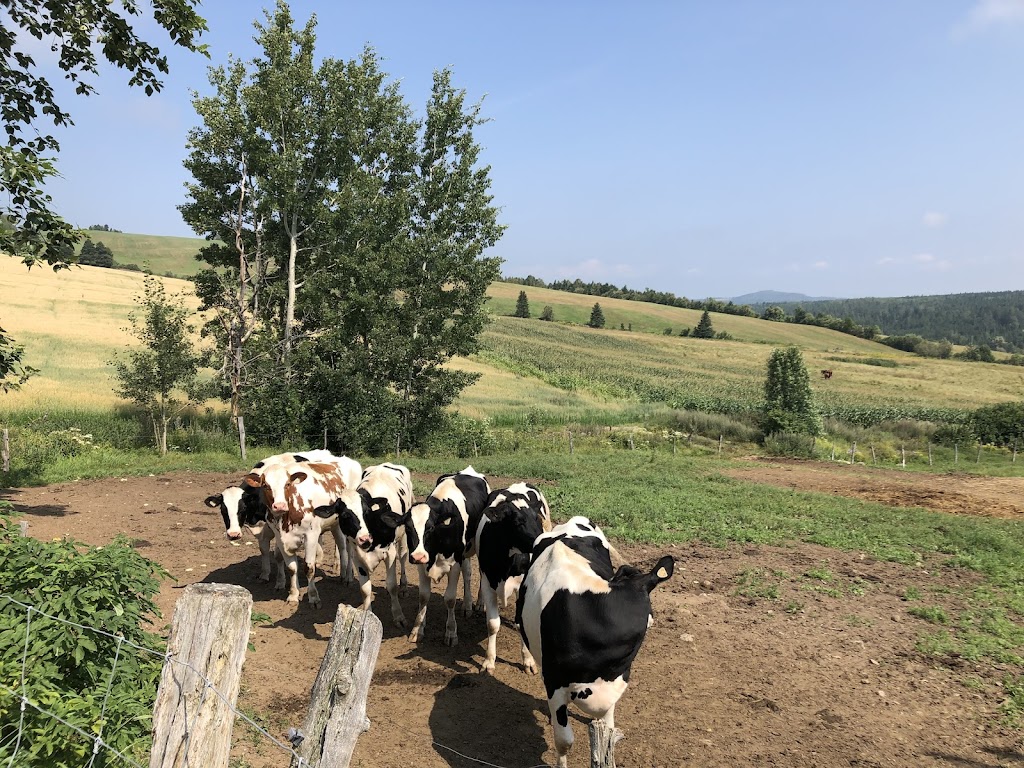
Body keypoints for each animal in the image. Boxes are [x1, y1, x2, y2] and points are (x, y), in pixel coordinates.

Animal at [403, 466, 491, 647]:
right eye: (408, 528)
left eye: (430, 528)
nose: (418, 556)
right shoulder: (423, 565)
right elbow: (423, 597)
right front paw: (417, 629)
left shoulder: (454, 564)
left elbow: (449, 599)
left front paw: (451, 633)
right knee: (468, 573)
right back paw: (467, 605)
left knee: (478, 573)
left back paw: (479, 603)